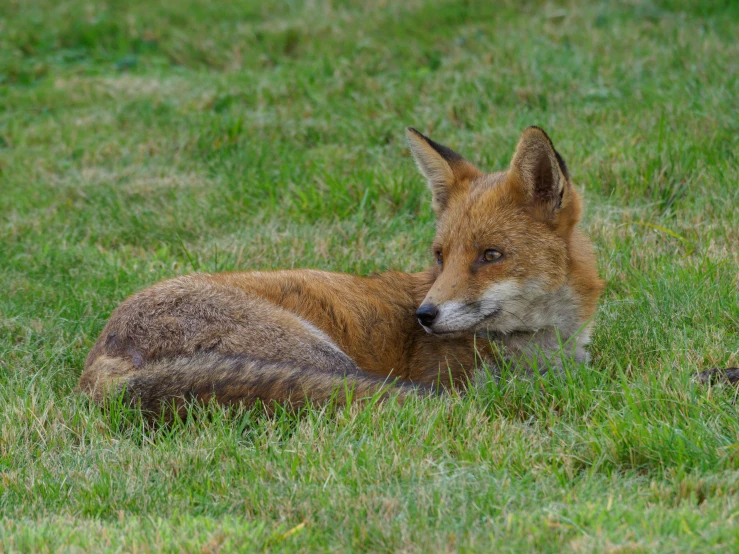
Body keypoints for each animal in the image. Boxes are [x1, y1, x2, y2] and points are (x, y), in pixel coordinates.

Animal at [76, 125, 608, 414]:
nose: (424, 316)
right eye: (440, 255)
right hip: (324, 357)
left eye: (490, 255)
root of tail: (100, 362)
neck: (542, 348)